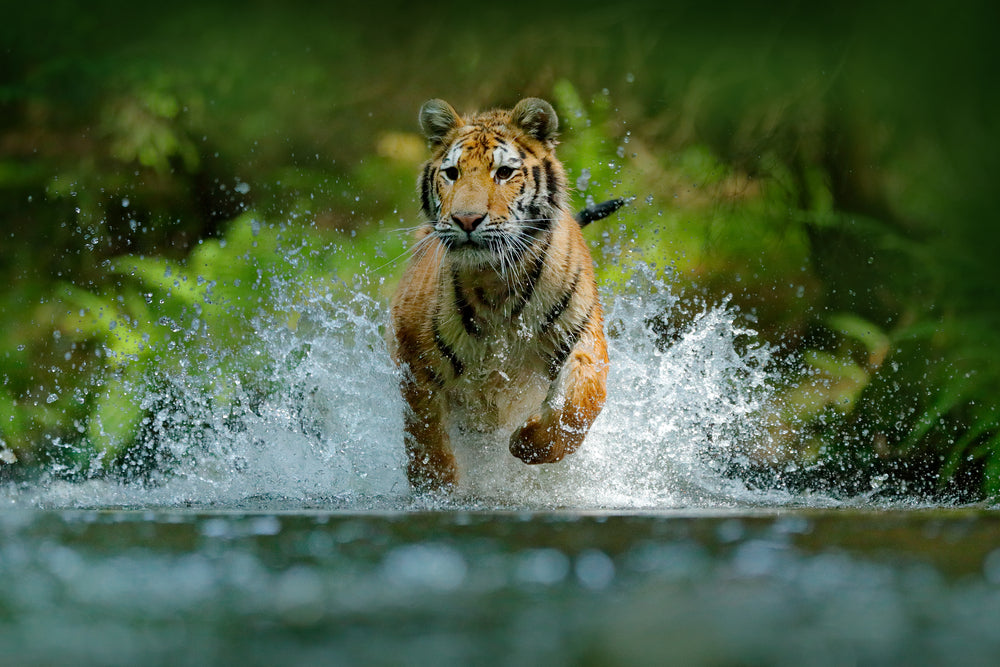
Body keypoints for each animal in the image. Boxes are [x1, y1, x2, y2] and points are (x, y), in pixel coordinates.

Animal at [388, 100, 616, 496]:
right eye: (452, 173)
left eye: (504, 172)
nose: (466, 220)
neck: (495, 281)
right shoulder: (412, 351)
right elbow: (426, 432)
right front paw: (438, 489)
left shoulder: (582, 332)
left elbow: (582, 399)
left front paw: (528, 443)